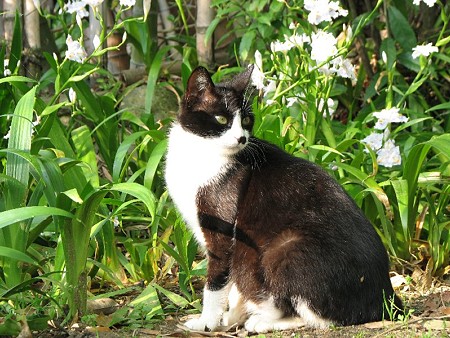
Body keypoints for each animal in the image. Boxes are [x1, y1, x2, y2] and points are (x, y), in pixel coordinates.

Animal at [163, 65, 402, 332]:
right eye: (222, 119)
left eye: (246, 120)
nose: (242, 138)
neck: (202, 154)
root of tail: (386, 298)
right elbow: (234, 287)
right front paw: (229, 319)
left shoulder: (222, 227)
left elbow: (216, 283)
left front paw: (207, 322)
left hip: (283, 250)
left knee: (319, 317)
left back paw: (263, 322)